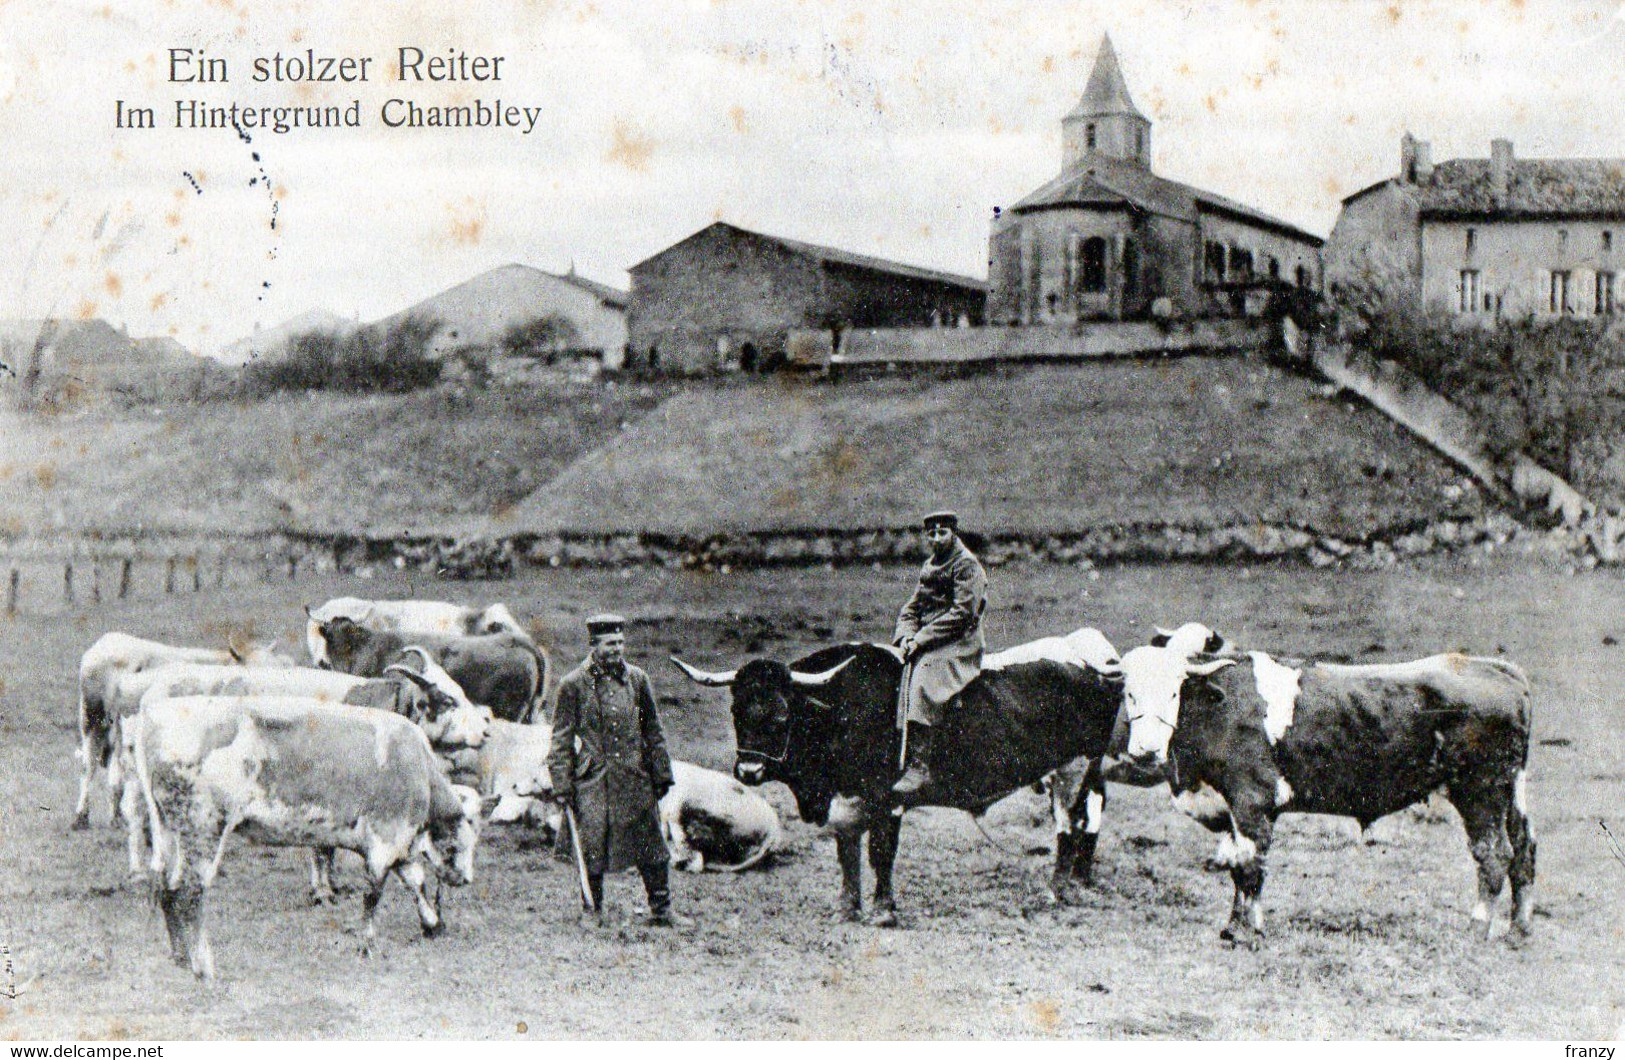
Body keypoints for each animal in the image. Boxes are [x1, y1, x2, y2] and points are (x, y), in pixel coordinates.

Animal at [135, 695, 477, 975]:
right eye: (460, 842)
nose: (466, 879)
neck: (420, 771)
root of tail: (154, 716)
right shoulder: (385, 841)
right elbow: (373, 896)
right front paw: (366, 944)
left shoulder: (400, 848)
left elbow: (416, 882)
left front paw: (433, 924)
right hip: (205, 827)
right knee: (188, 892)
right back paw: (203, 967)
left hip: (168, 829)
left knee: (166, 887)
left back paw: (181, 958)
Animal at [676, 640, 1131, 923]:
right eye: (736, 710)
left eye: (782, 714)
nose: (749, 771)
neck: (842, 707)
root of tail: (1097, 666)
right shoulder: (846, 800)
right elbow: (847, 852)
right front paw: (847, 907)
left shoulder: (886, 799)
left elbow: (880, 853)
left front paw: (884, 910)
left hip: (1074, 767)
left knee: (1070, 826)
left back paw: (1056, 891)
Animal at [1111, 624, 1540, 942]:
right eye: (1129, 694)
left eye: (1174, 692)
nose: (1145, 750)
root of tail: (1493, 667)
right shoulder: (1230, 807)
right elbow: (1236, 867)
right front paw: (1235, 927)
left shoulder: (1252, 800)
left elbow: (1250, 868)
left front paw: (1248, 932)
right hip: (1510, 790)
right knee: (1524, 850)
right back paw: (1518, 930)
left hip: (1480, 789)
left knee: (1493, 854)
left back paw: (1477, 927)